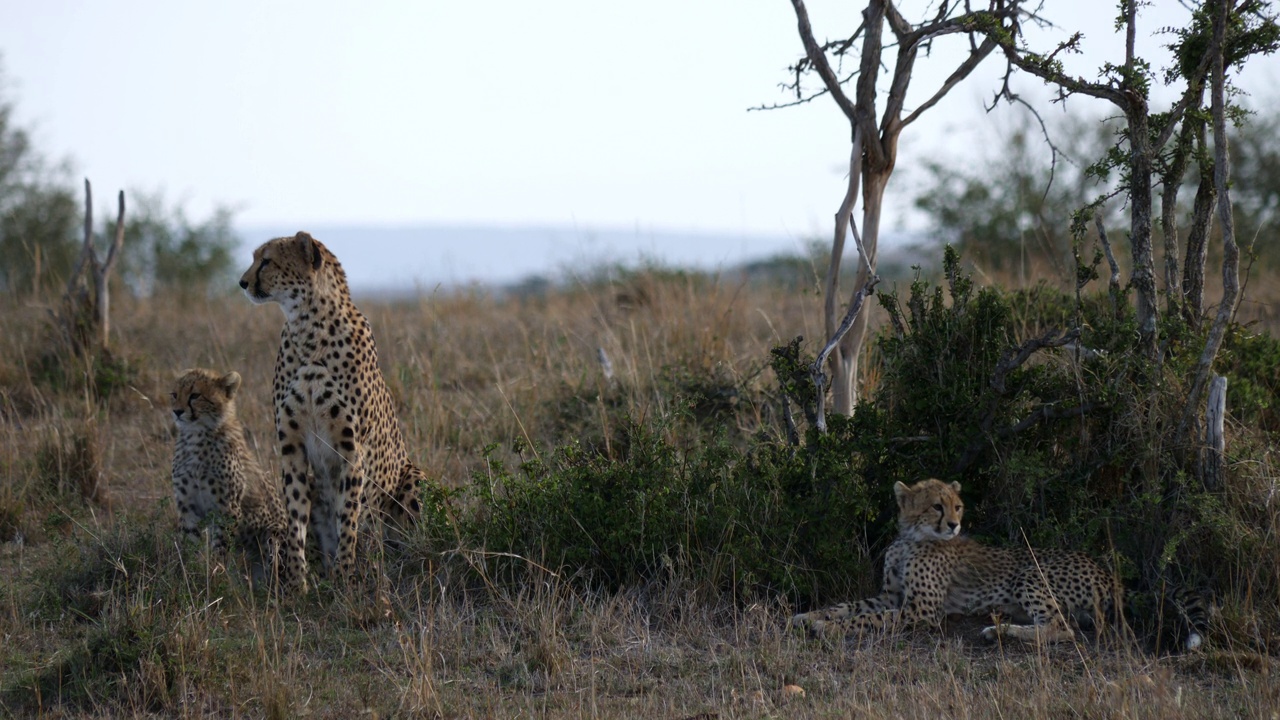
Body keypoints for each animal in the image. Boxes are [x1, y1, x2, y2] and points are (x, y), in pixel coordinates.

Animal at [170, 363, 285, 576]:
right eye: (174, 394)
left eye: (195, 395)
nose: (177, 412)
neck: (196, 435)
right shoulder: (187, 505)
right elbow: (190, 542)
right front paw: (188, 573)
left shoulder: (227, 508)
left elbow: (221, 546)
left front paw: (217, 572)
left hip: (273, 533)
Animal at [241, 229, 432, 589]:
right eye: (255, 258)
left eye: (267, 260)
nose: (242, 282)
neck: (308, 329)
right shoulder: (292, 448)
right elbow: (296, 517)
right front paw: (297, 582)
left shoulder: (351, 447)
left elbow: (349, 514)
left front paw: (345, 576)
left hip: (413, 477)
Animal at [783, 479, 1203, 648]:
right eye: (936, 506)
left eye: (957, 506)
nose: (955, 525)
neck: (912, 538)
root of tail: (1107, 573)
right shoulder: (890, 596)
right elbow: (849, 606)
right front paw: (809, 616)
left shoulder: (921, 610)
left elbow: (869, 619)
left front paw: (827, 628)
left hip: (1031, 573)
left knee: (1062, 628)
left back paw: (1000, 632)